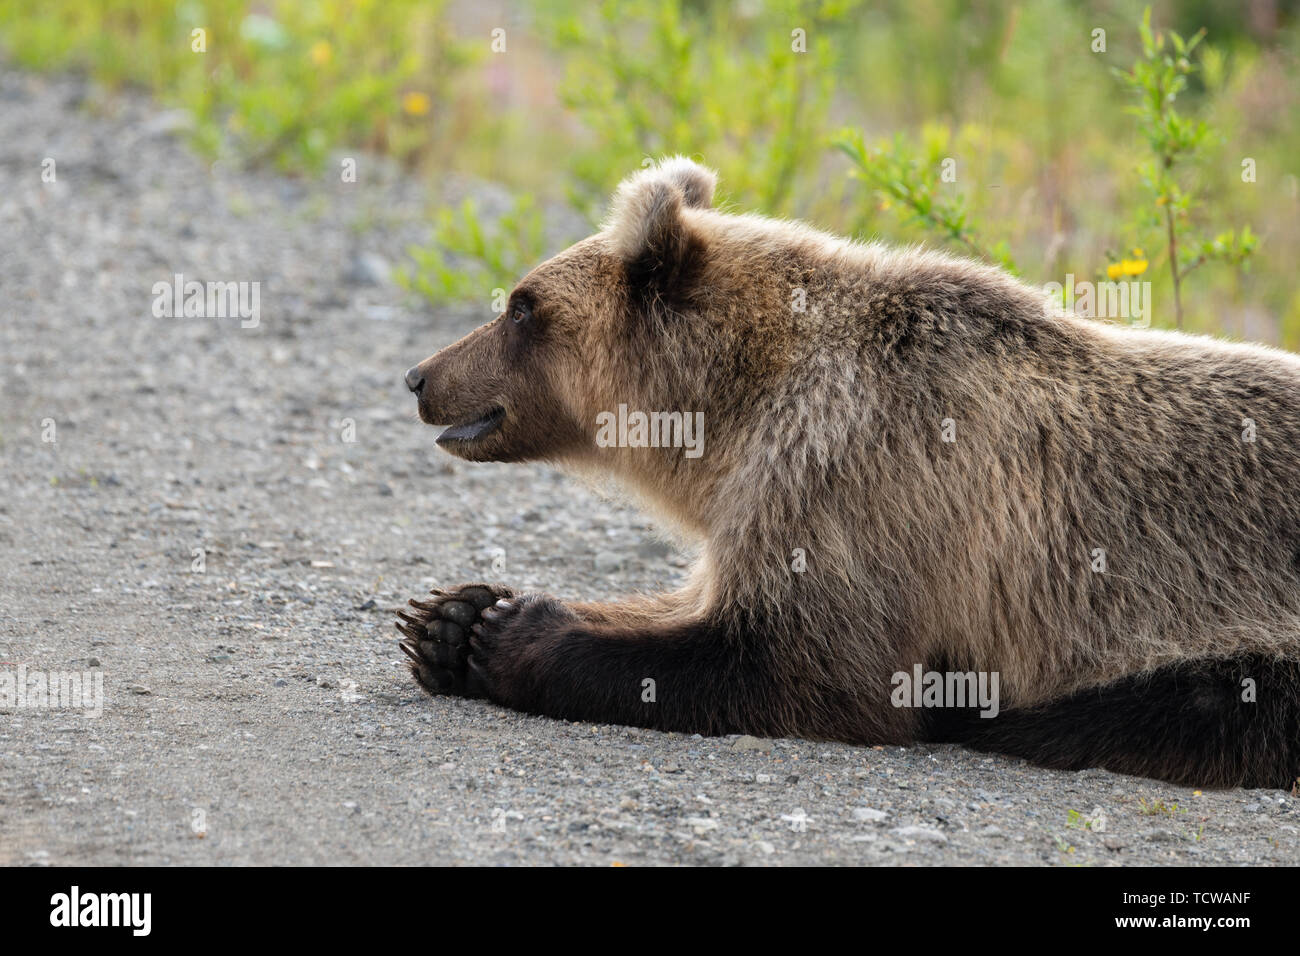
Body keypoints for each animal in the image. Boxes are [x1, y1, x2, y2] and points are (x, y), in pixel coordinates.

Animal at [392, 155, 1300, 785]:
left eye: (521, 306)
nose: (420, 376)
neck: (735, 413)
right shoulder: (764, 501)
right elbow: (691, 602)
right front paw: (452, 616)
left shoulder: (862, 477)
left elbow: (799, 663)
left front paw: (512, 635)